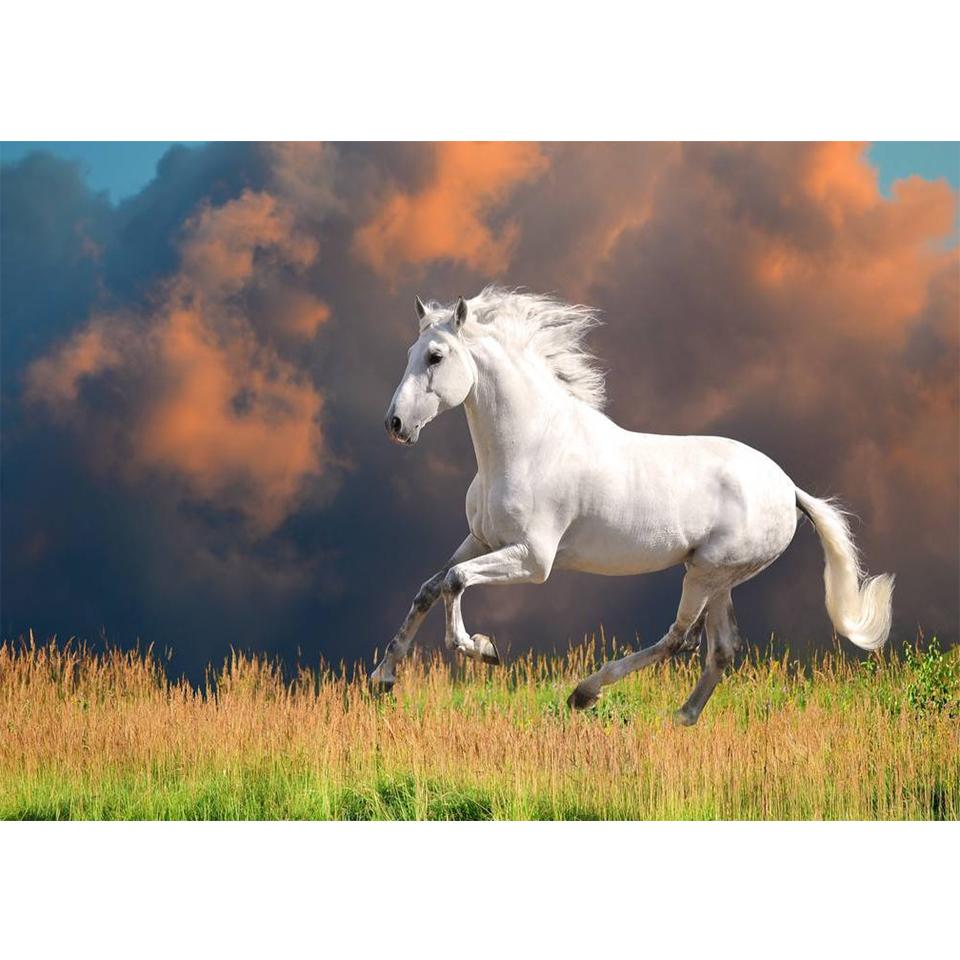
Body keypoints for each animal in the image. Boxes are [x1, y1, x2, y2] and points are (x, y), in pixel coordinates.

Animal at [370, 287, 894, 724]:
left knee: (679, 637)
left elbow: (456, 582)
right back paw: (681, 717)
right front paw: (382, 678)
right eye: (410, 354)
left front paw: (480, 648)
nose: (395, 424)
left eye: (435, 356)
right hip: (720, 579)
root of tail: (788, 488)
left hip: (706, 573)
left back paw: (586, 693)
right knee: (719, 648)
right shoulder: (481, 539)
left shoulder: (534, 559)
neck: (529, 445)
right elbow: (429, 588)